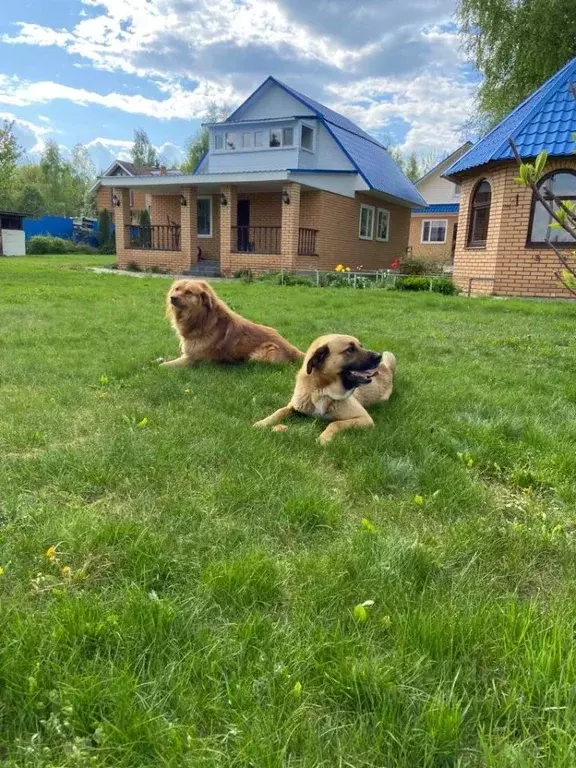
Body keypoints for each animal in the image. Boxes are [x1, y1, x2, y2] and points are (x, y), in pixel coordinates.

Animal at [160, 280, 304, 368]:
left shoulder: (192, 359)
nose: (172, 298)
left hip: (261, 354)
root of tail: (291, 348)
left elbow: (165, 366)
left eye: (188, 292)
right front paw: (160, 359)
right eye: (176, 289)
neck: (202, 319)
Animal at [253, 332, 396, 444]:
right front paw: (263, 422)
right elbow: (280, 411)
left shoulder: (364, 418)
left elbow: (335, 423)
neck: (321, 391)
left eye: (361, 346)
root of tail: (387, 368)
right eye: (350, 349)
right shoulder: (293, 406)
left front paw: (324, 438)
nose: (379, 356)